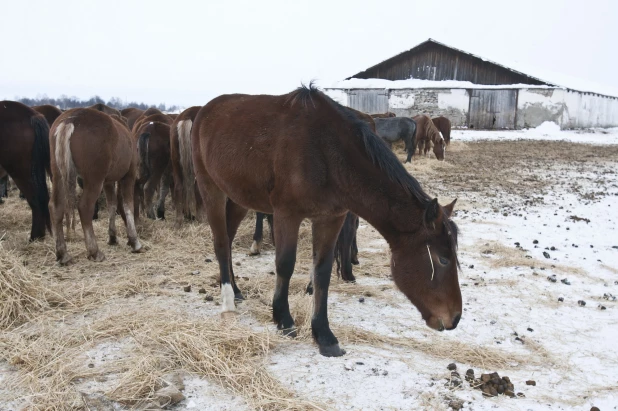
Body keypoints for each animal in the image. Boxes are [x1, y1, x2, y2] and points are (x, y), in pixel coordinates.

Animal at [49, 108, 143, 264]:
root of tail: (70, 120)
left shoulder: (108, 182)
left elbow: (112, 204)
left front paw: (112, 236)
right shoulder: (128, 176)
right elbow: (127, 205)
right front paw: (134, 240)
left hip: (58, 175)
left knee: (56, 208)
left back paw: (63, 254)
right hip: (94, 180)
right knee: (85, 207)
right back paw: (94, 251)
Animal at [190, 85, 460, 358]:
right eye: (442, 259)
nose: (455, 318)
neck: (327, 152)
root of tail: (204, 111)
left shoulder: (330, 218)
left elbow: (322, 271)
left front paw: (324, 335)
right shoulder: (286, 214)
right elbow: (285, 265)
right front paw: (283, 319)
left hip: (238, 197)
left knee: (228, 238)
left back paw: (235, 290)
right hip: (211, 188)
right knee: (221, 243)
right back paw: (227, 301)